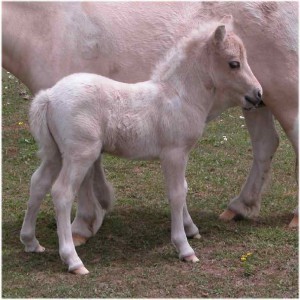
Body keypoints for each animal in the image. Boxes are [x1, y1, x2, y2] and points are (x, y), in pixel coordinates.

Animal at [2, 1, 298, 244]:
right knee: (265, 145)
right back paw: (240, 207)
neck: (48, 24)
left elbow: (84, 175)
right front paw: (100, 206)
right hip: (255, 103)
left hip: (282, 99)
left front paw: (83, 224)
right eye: (234, 63)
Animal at [20, 19, 262, 274]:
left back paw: (31, 241)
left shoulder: (180, 155)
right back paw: (73, 260)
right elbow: (177, 193)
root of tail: (48, 96)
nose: (258, 94)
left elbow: (184, 188)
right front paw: (184, 248)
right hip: (81, 154)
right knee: (62, 193)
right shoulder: (174, 153)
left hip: (55, 153)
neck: (179, 95)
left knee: (38, 183)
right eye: (234, 63)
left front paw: (191, 229)